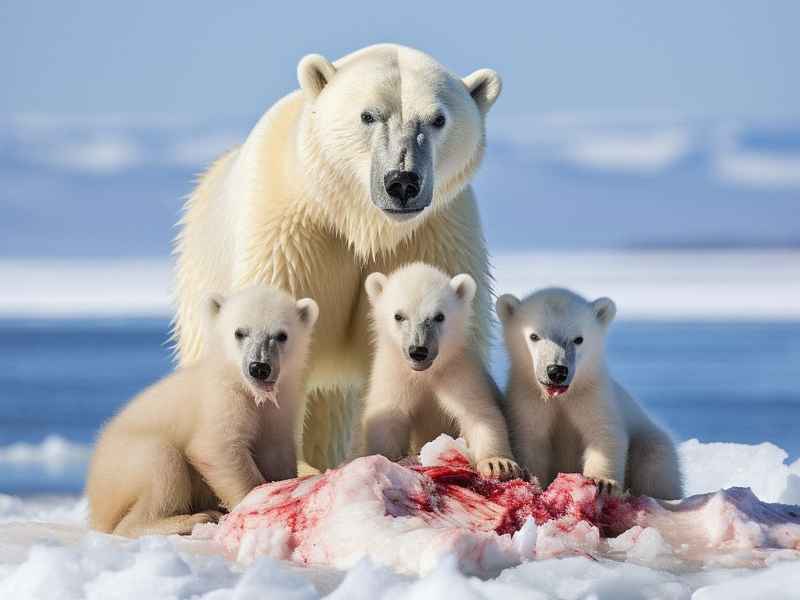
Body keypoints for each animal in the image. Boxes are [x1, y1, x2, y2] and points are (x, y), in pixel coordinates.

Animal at [86, 286, 319, 537]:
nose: (259, 367)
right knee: (160, 465)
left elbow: (276, 451)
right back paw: (194, 518)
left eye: (282, 335)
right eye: (240, 332)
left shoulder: (281, 408)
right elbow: (215, 447)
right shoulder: (222, 399)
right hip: (122, 466)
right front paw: (254, 500)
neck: (243, 386)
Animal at [172, 44, 502, 470]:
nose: (402, 182)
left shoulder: (435, 234)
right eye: (368, 115)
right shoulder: (291, 236)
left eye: (438, 118)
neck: (361, 221)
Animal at [360, 262, 521, 480]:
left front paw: (498, 463)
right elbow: (387, 417)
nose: (418, 351)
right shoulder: (394, 375)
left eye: (439, 316)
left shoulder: (457, 371)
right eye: (398, 316)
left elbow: (480, 414)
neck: (425, 374)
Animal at [496, 287, 683, 499]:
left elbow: (604, 433)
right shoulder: (528, 400)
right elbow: (530, 439)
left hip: (651, 440)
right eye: (534, 336)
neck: (561, 396)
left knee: (656, 464)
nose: (557, 371)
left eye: (579, 339)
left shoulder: (592, 395)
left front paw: (603, 482)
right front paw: (532, 479)